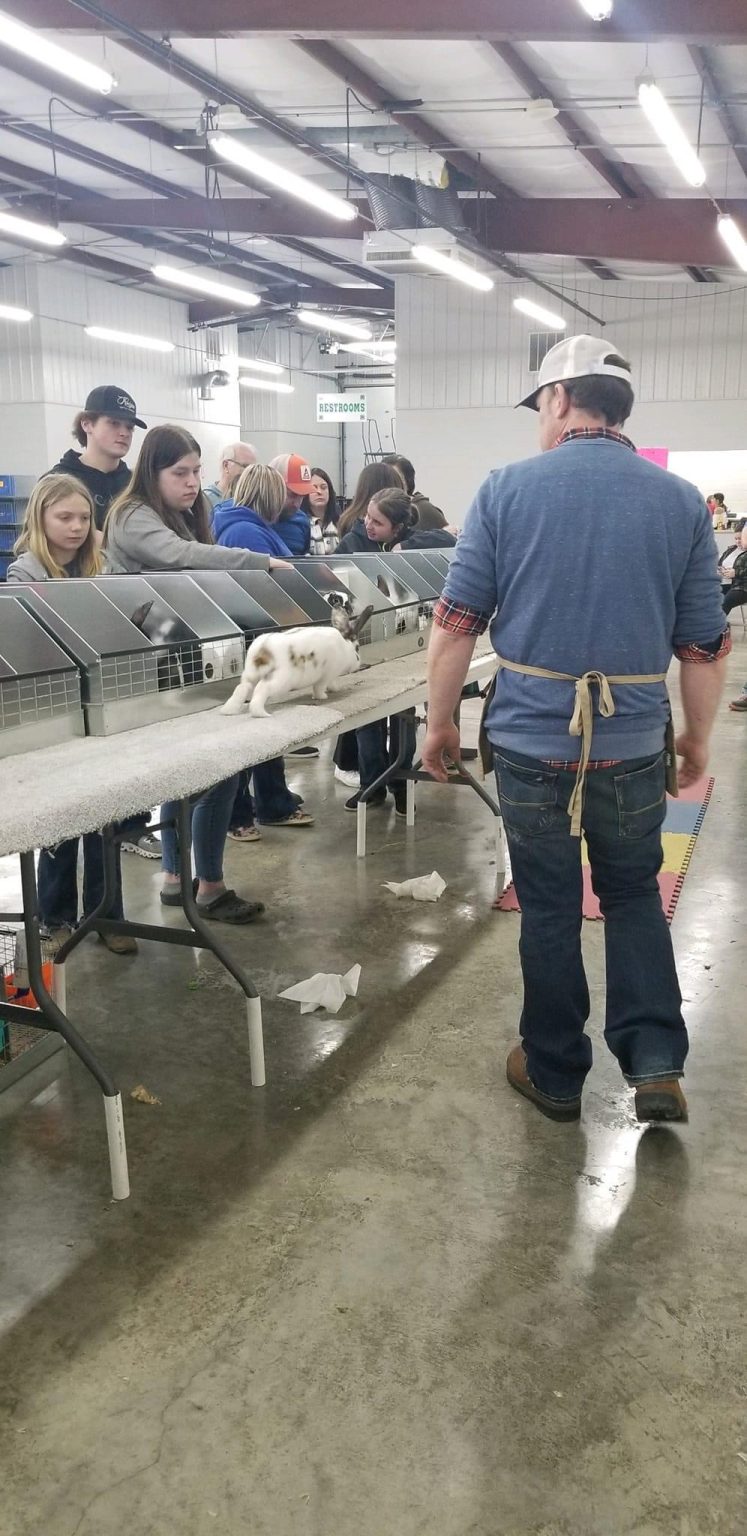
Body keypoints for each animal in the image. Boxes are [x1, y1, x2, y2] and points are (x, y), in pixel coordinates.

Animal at [221, 602, 374, 718]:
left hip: (250, 674)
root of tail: (263, 650)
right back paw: (261, 714)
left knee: (242, 688)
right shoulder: (326, 675)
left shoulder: (330, 675)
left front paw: (335, 689)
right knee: (261, 689)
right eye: (357, 648)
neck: (344, 646)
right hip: (280, 680)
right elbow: (320, 687)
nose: (358, 663)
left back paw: (228, 711)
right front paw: (323, 696)